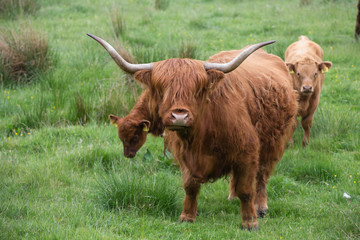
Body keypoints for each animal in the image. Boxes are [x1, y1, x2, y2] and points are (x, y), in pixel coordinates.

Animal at [88, 32, 296, 230]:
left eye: (197, 89)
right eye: (162, 90)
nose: (179, 116)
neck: (201, 136)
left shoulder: (247, 151)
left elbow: (246, 190)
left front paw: (250, 223)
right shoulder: (184, 156)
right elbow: (190, 187)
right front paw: (187, 217)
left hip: (272, 143)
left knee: (261, 176)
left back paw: (261, 207)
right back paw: (232, 197)